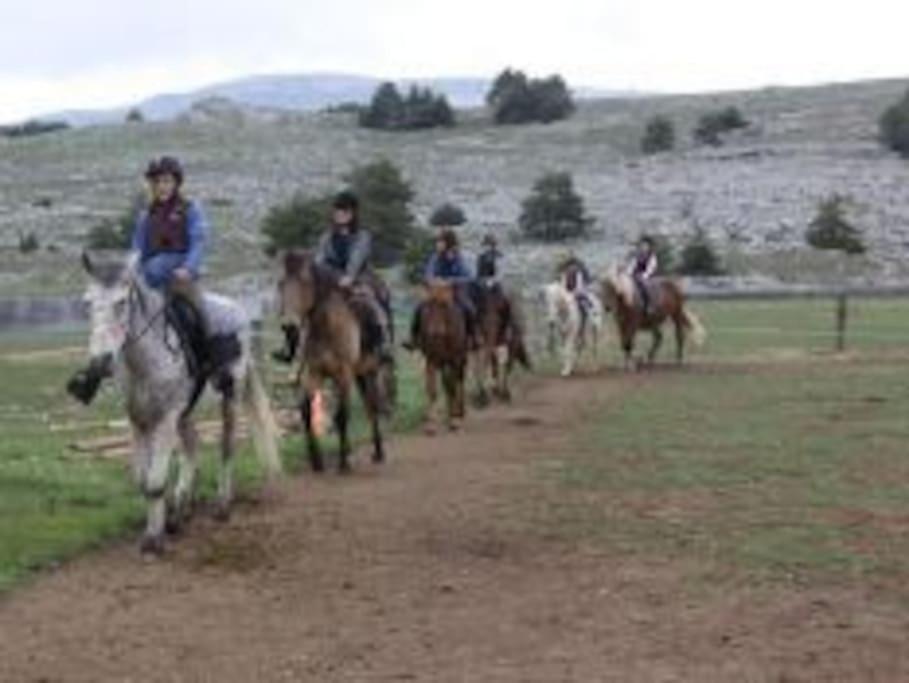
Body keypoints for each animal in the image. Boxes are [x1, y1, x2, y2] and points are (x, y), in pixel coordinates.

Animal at [78, 251, 280, 556]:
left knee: (226, 447)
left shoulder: (165, 419)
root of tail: (238, 311)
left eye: (122, 302)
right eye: (88, 302)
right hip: (186, 413)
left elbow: (156, 482)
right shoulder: (138, 421)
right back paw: (181, 510)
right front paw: (160, 524)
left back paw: (222, 506)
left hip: (229, 397)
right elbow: (143, 480)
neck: (148, 360)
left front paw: (153, 540)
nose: (100, 362)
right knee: (192, 449)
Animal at [276, 251, 390, 476]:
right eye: (281, 283)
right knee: (367, 405)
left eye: (304, 281)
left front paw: (343, 463)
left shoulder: (343, 374)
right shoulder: (314, 373)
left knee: (372, 406)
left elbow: (341, 416)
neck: (326, 328)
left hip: (370, 371)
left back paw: (379, 452)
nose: (289, 325)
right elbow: (306, 411)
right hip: (358, 374)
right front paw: (316, 461)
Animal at [414, 280, 468, 432]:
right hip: (443, 362)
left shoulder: (455, 360)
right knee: (447, 384)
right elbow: (432, 389)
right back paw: (450, 414)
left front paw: (455, 420)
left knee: (459, 381)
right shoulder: (432, 360)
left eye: (445, 305)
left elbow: (454, 386)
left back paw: (459, 413)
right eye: (428, 304)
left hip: (460, 360)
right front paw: (431, 424)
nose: (434, 332)